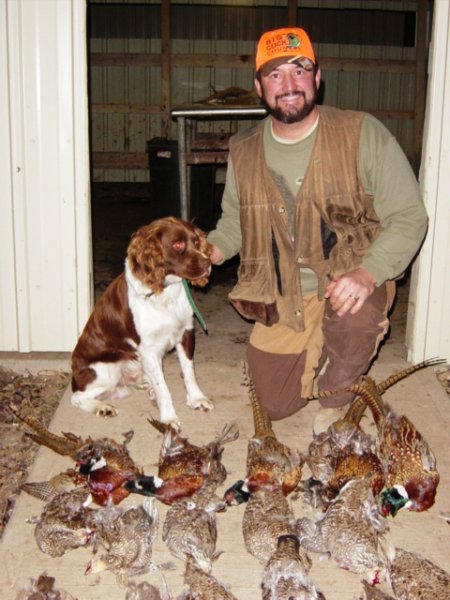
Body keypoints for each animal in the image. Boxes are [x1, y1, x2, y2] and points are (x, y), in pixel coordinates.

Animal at [71, 216, 214, 426]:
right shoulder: (148, 349)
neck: (165, 294)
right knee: (77, 397)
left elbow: (189, 373)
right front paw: (169, 417)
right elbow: (163, 387)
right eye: (178, 244)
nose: (208, 263)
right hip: (106, 371)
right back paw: (102, 407)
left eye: (196, 242)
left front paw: (197, 399)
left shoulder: (186, 332)